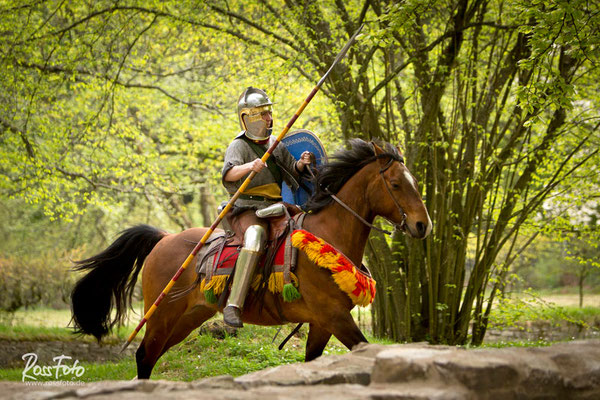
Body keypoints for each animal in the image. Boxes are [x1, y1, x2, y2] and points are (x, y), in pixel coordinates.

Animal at [70, 139, 432, 380]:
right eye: (396, 183)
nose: (422, 225)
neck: (328, 234)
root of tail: (165, 238)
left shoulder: (322, 322)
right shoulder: (334, 316)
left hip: (188, 317)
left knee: (151, 355)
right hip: (162, 315)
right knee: (145, 356)